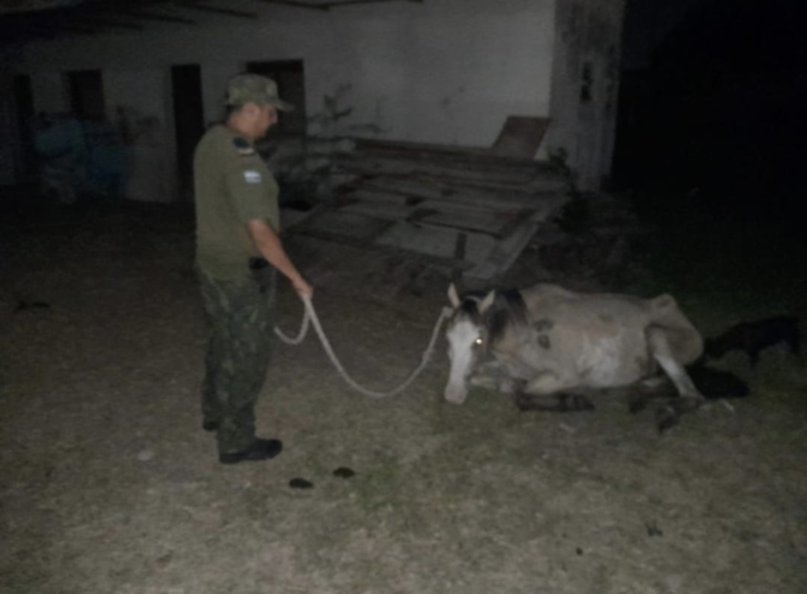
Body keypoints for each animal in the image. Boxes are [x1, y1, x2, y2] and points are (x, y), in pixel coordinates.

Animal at [442, 282, 708, 430]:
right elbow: (480, 376)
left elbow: (524, 389)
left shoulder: (566, 375)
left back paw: (667, 412)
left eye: (478, 340)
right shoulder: (509, 366)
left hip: (656, 333)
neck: (522, 328)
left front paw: (575, 400)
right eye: (447, 337)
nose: (452, 396)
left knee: (693, 395)